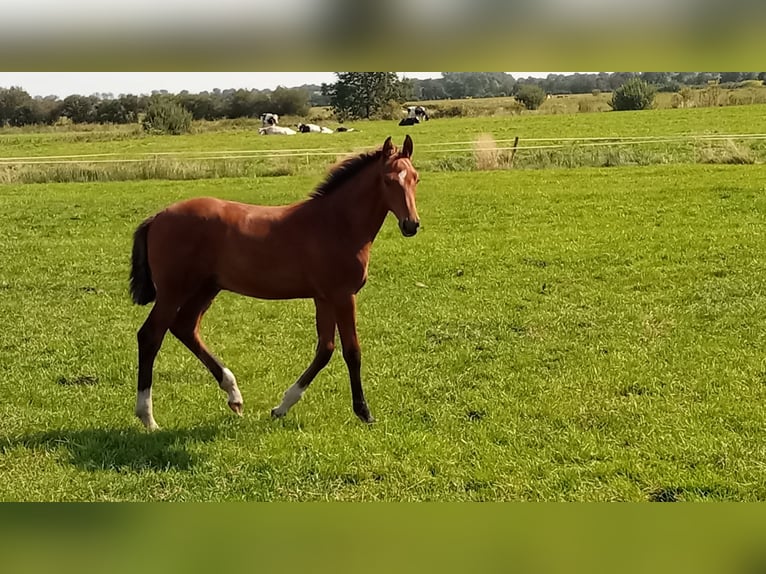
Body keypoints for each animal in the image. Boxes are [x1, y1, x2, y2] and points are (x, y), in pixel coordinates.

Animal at [129, 136, 424, 432]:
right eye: (388, 180)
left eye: (415, 178)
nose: (411, 225)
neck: (336, 223)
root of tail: (157, 217)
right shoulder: (342, 295)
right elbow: (352, 352)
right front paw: (364, 412)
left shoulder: (324, 297)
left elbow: (325, 349)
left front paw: (282, 407)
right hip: (173, 291)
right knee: (150, 335)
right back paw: (148, 417)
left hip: (206, 288)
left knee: (185, 328)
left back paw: (233, 395)